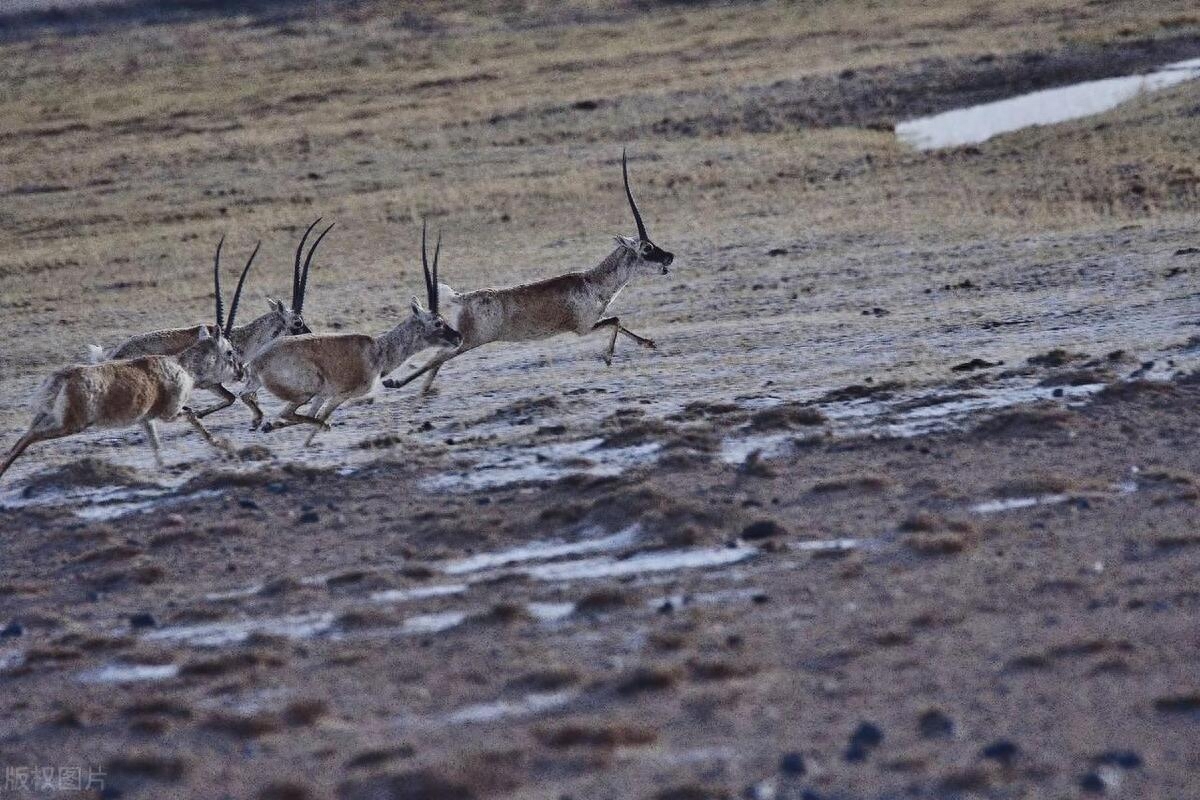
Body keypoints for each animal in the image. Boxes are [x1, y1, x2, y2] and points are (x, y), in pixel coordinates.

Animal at [0, 287, 244, 482]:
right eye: (229, 351)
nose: (240, 372)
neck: (181, 364)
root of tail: (63, 377)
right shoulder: (169, 414)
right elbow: (192, 414)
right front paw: (223, 444)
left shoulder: (146, 419)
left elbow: (155, 444)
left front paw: (163, 467)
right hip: (70, 425)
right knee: (29, 437)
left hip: (49, 417)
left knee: (23, 436)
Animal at [88, 219, 333, 419]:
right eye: (298, 322)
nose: (311, 338)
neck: (239, 339)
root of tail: (111, 356)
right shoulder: (211, 383)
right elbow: (232, 398)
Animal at [236, 221, 460, 448]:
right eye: (438, 322)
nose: (458, 337)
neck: (378, 350)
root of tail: (257, 363)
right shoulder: (340, 395)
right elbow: (318, 419)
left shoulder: (322, 397)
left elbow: (313, 417)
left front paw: (277, 429)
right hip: (305, 393)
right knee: (288, 413)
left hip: (284, 391)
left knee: (249, 398)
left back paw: (263, 422)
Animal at [388, 149, 681, 393]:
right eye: (646, 248)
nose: (670, 256)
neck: (592, 282)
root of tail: (463, 297)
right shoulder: (584, 328)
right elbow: (616, 320)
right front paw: (608, 358)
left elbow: (619, 321)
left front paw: (648, 343)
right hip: (469, 341)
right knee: (436, 358)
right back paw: (395, 383)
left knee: (437, 360)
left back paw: (424, 389)